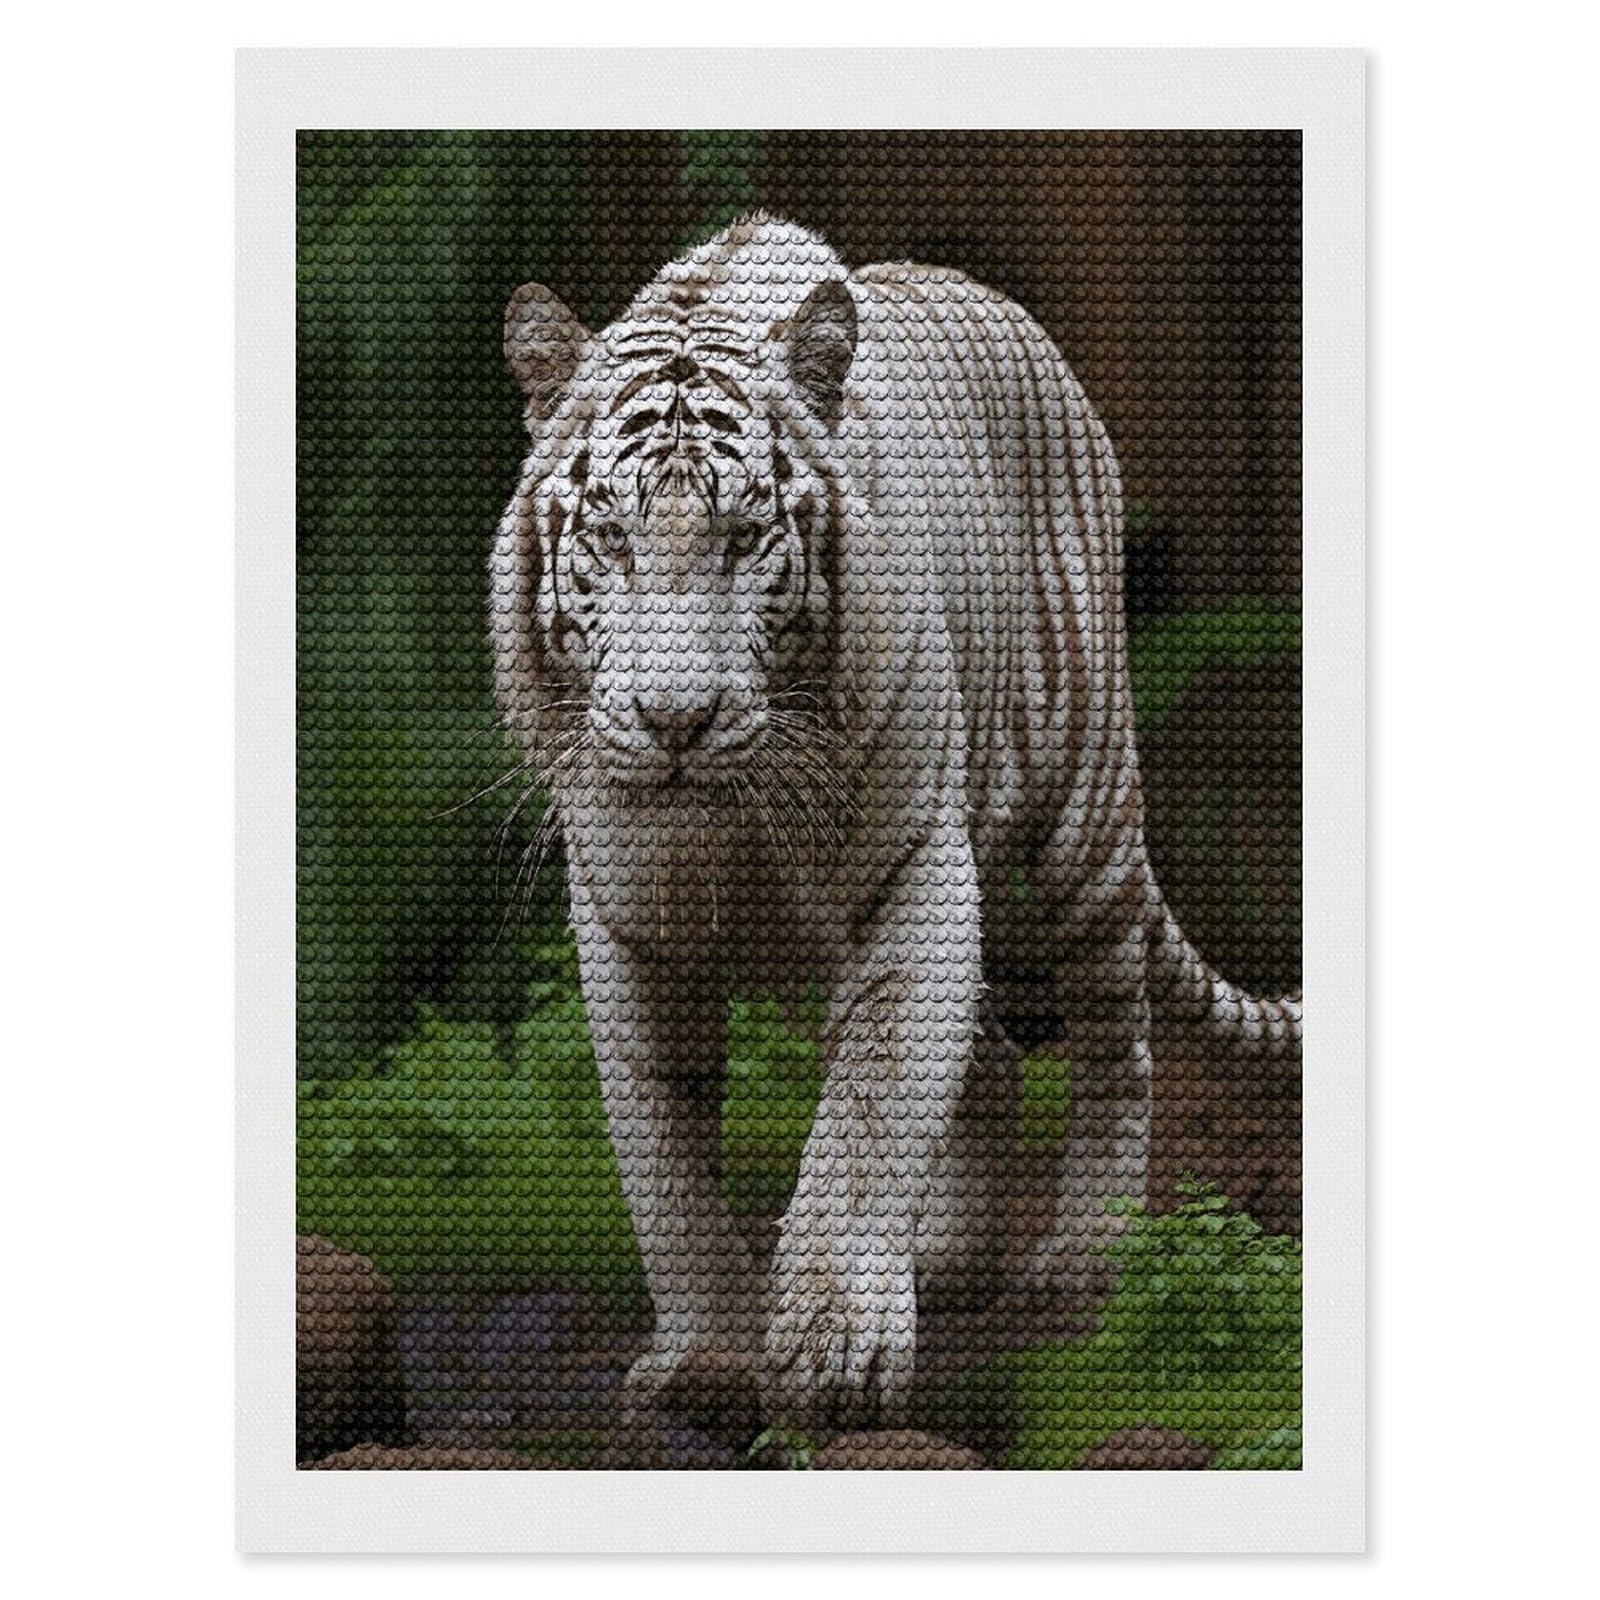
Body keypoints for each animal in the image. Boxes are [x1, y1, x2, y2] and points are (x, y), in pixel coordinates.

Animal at [489, 213, 1301, 1430]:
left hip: (1085, 818)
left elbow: (869, 1110)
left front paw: (835, 1352)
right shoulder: (627, 919)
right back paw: (951, 1259)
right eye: (612, 540)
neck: (732, 828)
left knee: (1115, 1047)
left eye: (743, 539)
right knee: (998, 1054)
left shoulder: (915, 870)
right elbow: (663, 1148)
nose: (677, 720)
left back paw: (1085, 1255)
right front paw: (710, 1361)